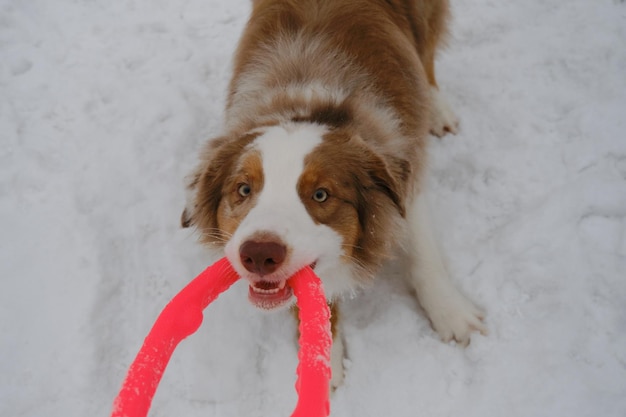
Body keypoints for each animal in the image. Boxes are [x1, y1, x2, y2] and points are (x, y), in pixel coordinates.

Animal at [179, 0, 482, 388]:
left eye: (321, 195)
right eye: (243, 189)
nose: (258, 254)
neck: (311, 104)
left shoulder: (406, 176)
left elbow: (424, 254)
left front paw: (452, 314)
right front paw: (322, 362)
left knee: (427, 55)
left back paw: (437, 108)